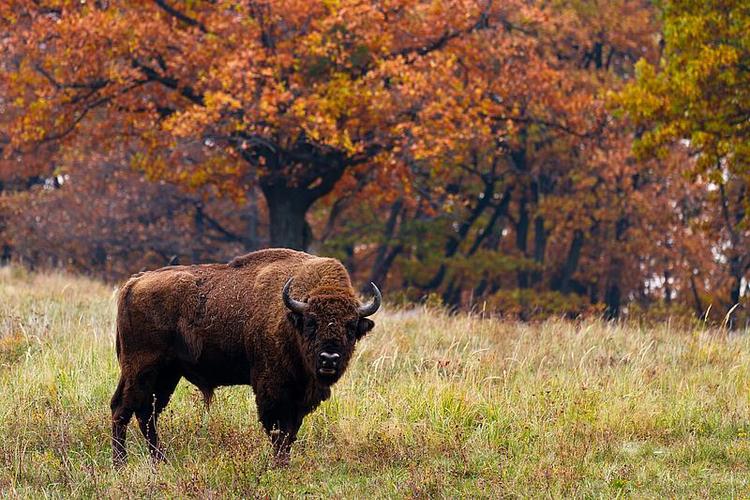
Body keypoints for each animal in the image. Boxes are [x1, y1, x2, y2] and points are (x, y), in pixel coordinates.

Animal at [110, 248, 380, 466]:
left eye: (351, 326)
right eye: (311, 323)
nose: (329, 359)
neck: (291, 318)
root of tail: (135, 281)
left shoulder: (300, 397)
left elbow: (290, 432)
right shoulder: (272, 389)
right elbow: (279, 431)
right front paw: (279, 466)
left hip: (167, 374)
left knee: (146, 413)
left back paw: (160, 461)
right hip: (141, 368)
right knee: (123, 409)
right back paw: (121, 464)